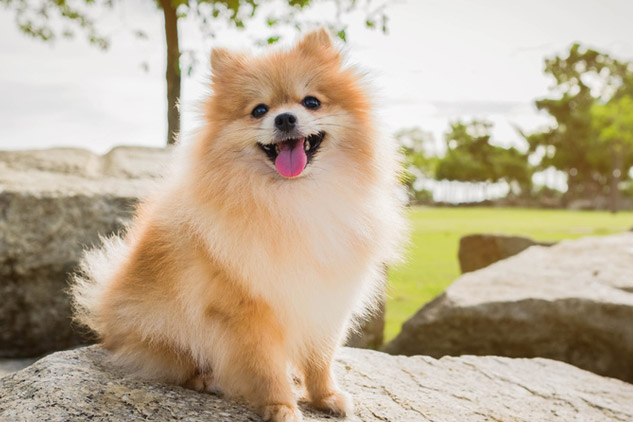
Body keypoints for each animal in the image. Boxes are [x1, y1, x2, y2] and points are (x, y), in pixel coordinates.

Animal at [70, 28, 404, 420]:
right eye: (259, 110)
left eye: (311, 102)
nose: (285, 119)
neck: (294, 198)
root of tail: (107, 320)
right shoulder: (247, 310)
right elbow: (265, 365)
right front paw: (281, 406)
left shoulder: (324, 297)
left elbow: (321, 356)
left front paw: (326, 396)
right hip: (161, 328)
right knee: (172, 363)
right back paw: (205, 379)